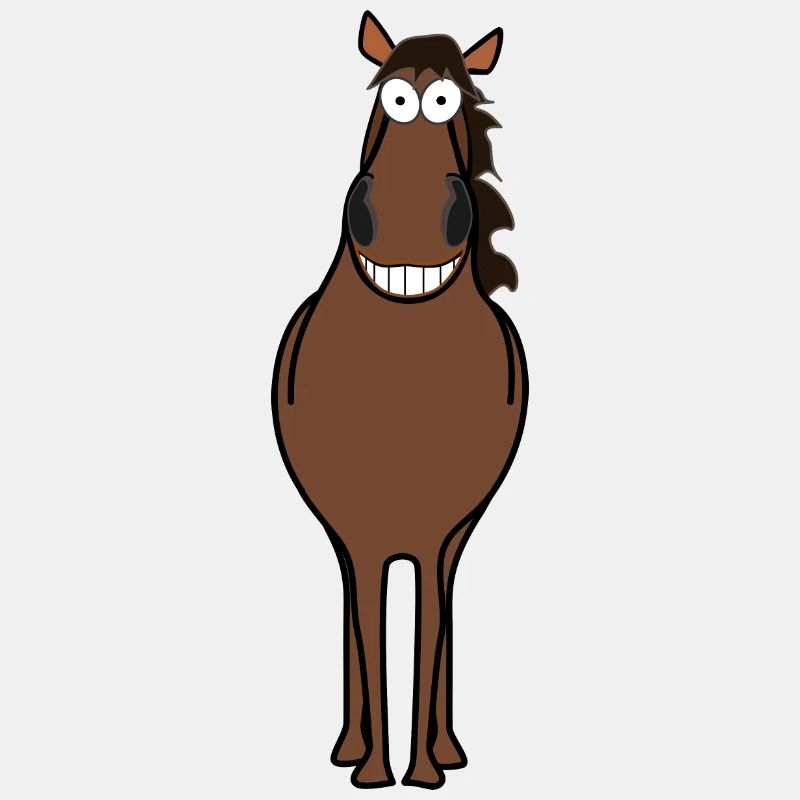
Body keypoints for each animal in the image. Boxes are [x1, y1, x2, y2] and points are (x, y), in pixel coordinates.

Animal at [272, 11, 528, 789]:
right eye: (392, 98)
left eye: (447, 102)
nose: (405, 218)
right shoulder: (360, 530)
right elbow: (369, 632)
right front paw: (372, 770)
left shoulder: (441, 530)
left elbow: (429, 631)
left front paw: (424, 771)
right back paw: (350, 745)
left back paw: (445, 747)